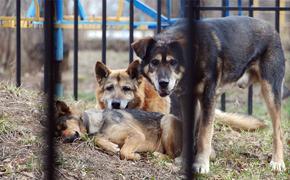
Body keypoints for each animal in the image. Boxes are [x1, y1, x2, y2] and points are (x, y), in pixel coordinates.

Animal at [132, 16, 286, 173]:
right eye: (154, 62)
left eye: (173, 62)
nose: (163, 83)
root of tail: (271, 27)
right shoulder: (188, 100)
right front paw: (184, 159)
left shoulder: (208, 98)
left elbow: (204, 135)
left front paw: (201, 164)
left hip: (270, 91)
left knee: (278, 131)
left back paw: (277, 162)